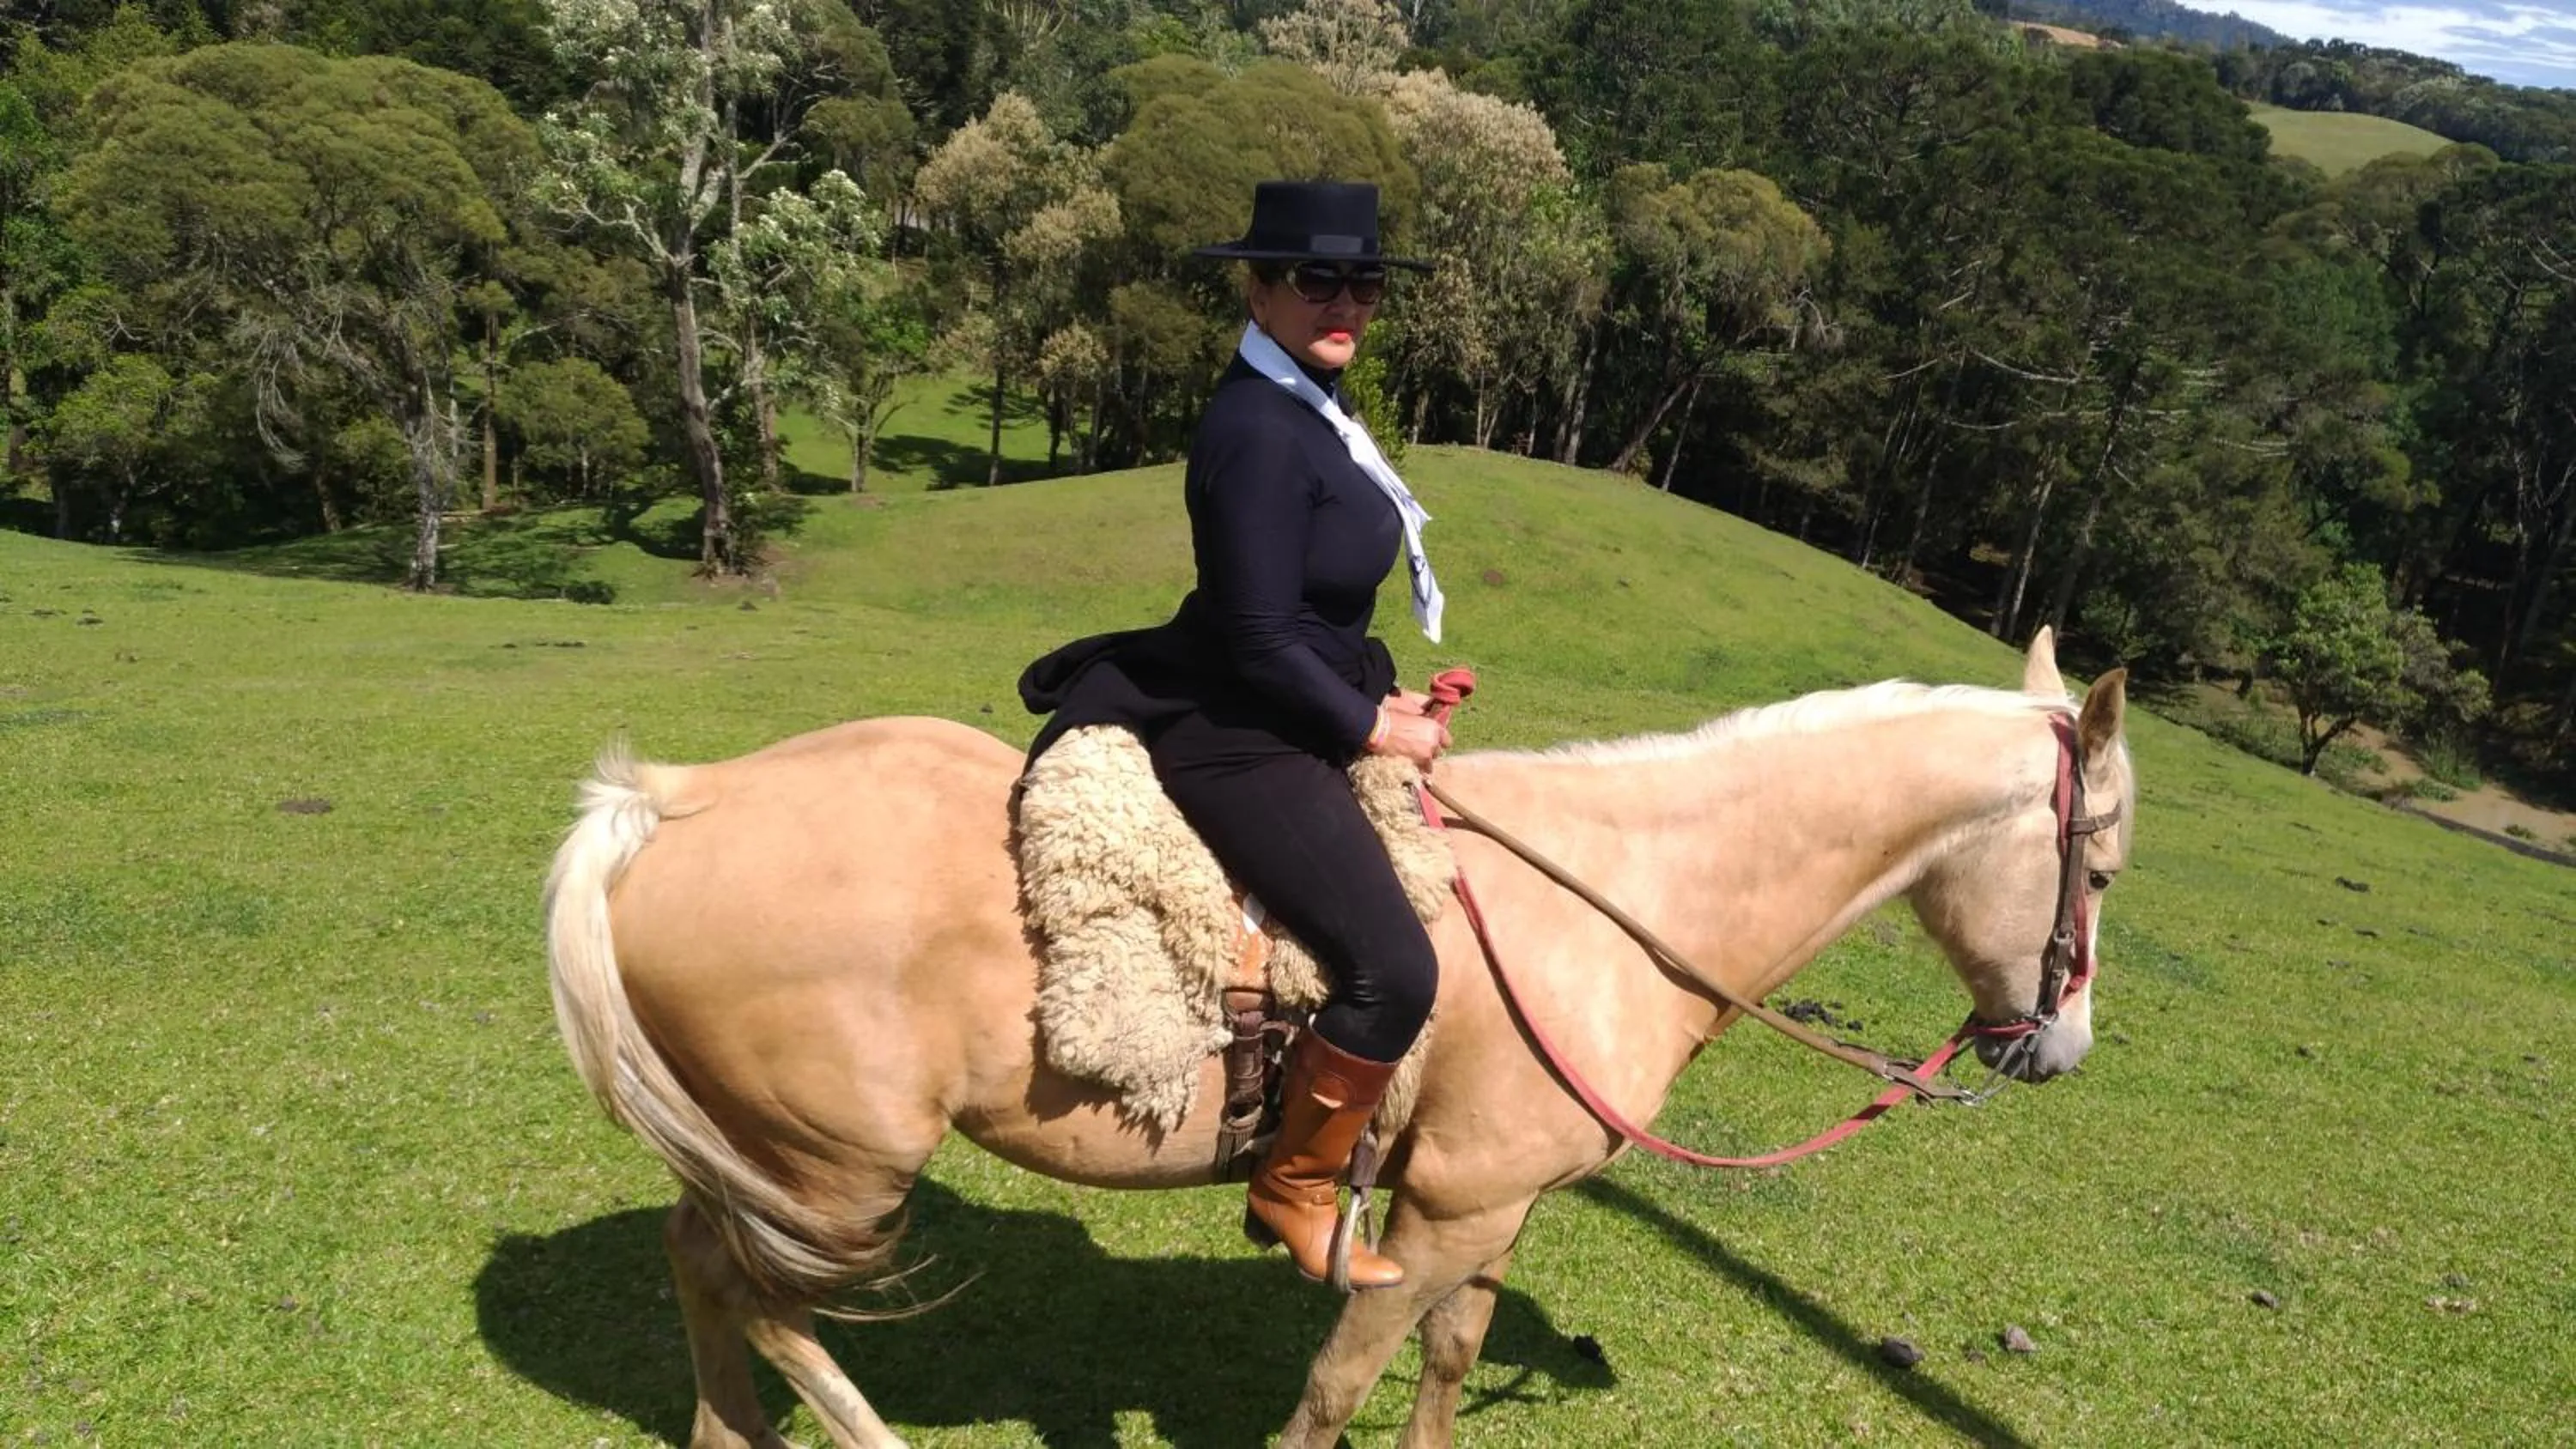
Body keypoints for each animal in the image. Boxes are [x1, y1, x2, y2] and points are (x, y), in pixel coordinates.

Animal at [541, 627, 2134, 1449]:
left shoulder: (1491, 1204)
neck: (1611, 898)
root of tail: (667, 806)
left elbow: (1451, 1357)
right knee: (764, 1297)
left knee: (700, 1267)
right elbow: (1337, 1388)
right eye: (2103, 869)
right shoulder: (1424, 1223)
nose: (2058, 1047)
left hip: (760, 1156)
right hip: (840, 1172)